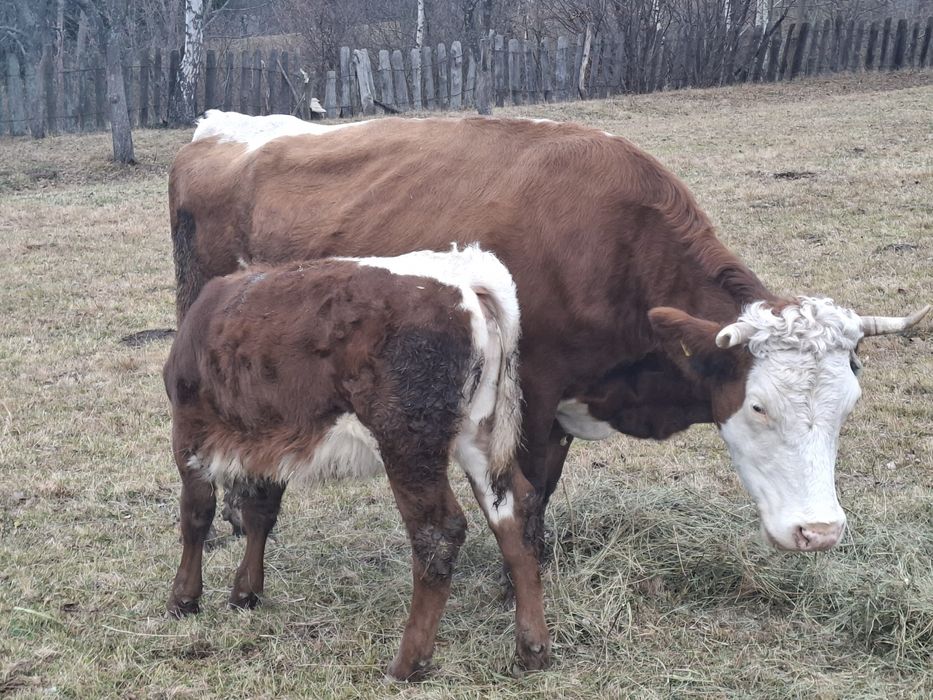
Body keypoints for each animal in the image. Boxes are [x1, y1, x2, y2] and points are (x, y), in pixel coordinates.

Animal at [163, 246, 549, 678]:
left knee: (437, 533)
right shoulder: (267, 442)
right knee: (514, 513)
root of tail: (466, 274)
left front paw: (183, 599)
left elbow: (196, 515)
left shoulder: (189, 433)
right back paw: (532, 649)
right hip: (478, 432)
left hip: (408, 441)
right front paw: (246, 591)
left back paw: (408, 661)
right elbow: (260, 513)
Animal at [168, 110, 928, 624]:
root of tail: (220, 129)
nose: (820, 533)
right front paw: (519, 583)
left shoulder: (562, 407)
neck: (608, 244)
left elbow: (546, 490)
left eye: (846, 407)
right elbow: (525, 497)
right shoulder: (528, 399)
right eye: (759, 406)